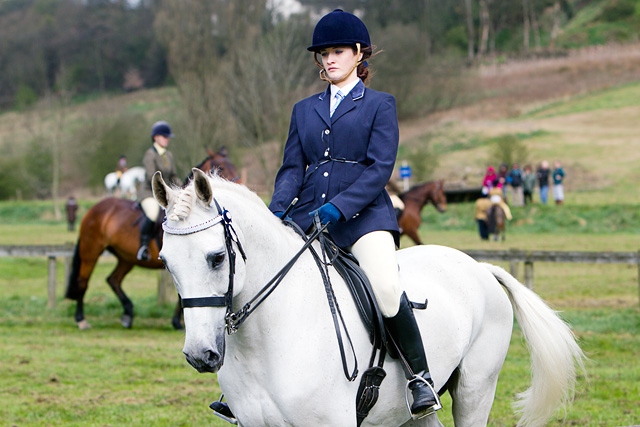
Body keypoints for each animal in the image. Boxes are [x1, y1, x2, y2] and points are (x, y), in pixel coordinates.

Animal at [65, 150, 240, 332]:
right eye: (221, 168)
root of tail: (94, 208)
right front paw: (178, 322)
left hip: (126, 258)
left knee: (113, 280)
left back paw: (128, 315)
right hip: (91, 251)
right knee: (83, 281)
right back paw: (81, 319)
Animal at [151, 170, 584, 427]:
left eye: (216, 257)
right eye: (165, 262)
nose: (200, 354)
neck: (269, 339)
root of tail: (480, 267)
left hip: (475, 391)